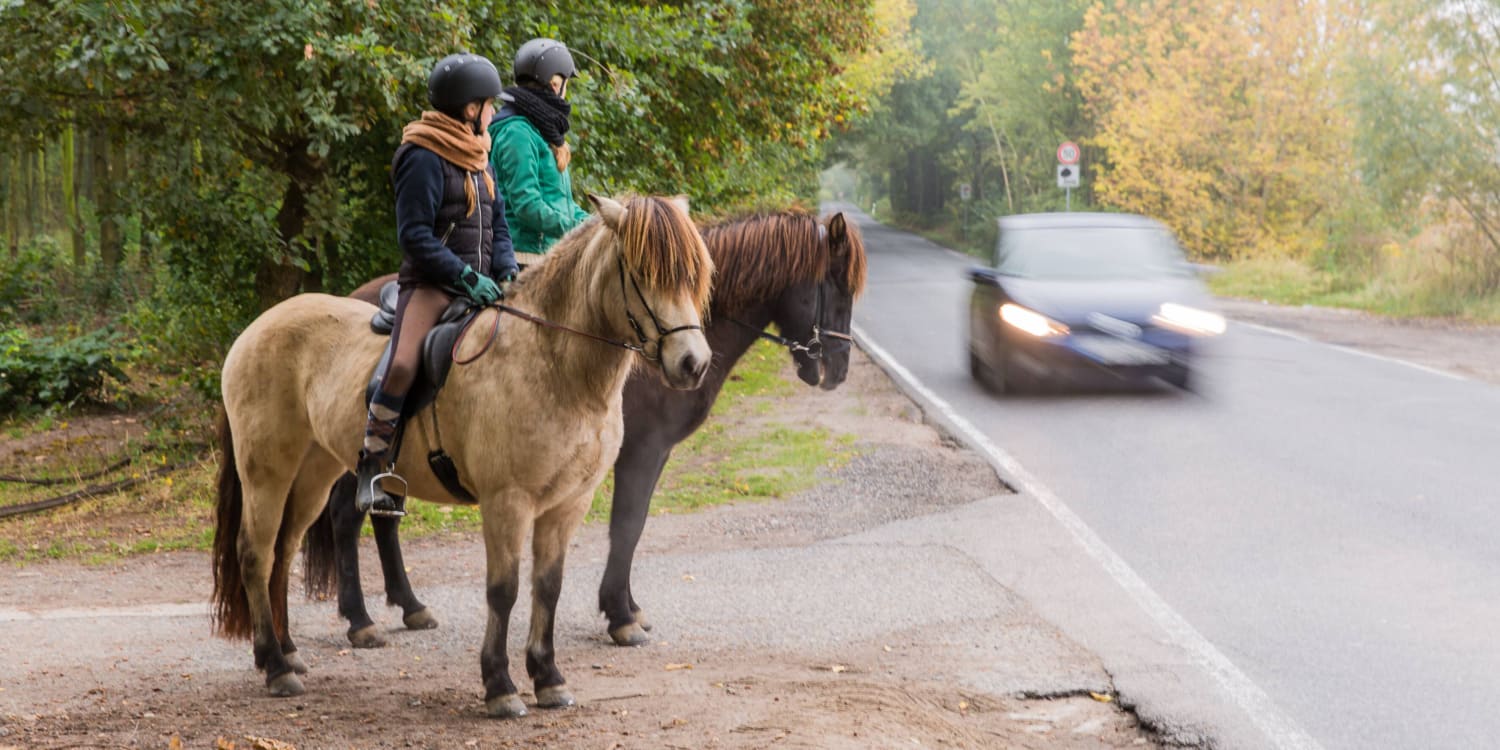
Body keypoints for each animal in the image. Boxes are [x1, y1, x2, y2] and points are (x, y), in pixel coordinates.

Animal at [210, 193, 714, 714]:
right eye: (642, 272)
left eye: (696, 274)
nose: (693, 364)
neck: (553, 363)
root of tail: (256, 328)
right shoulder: (507, 501)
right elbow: (503, 590)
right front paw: (500, 685)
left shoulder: (567, 504)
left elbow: (547, 587)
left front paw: (548, 678)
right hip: (267, 472)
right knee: (256, 554)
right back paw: (276, 666)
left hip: (315, 470)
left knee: (284, 550)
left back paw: (288, 651)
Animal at [301, 208, 870, 648]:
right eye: (835, 290)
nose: (838, 370)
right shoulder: (640, 452)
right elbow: (628, 525)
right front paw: (620, 615)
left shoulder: (644, 455)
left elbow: (631, 527)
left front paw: (628, 608)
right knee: (348, 518)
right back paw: (360, 620)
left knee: (383, 519)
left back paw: (410, 605)